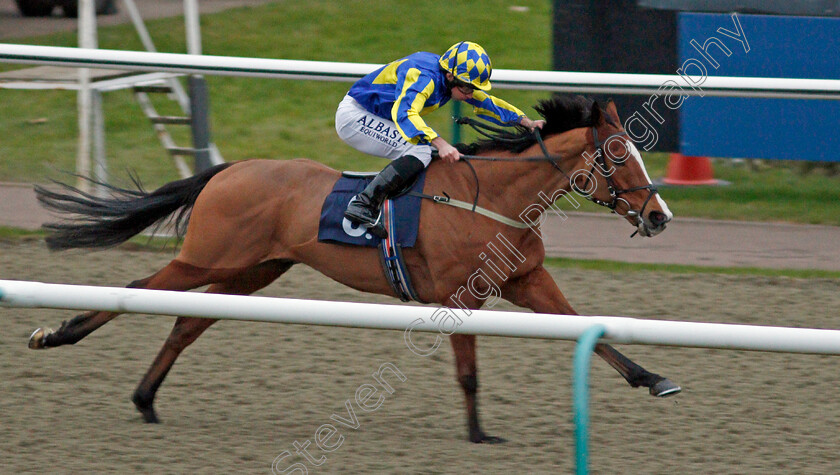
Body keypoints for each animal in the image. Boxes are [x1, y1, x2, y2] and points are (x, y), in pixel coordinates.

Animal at [29, 95, 680, 444]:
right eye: (619, 155)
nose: (659, 216)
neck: (491, 196)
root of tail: (229, 169)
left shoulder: (526, 281)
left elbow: (589, 332)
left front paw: (653, 378)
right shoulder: (461, 296)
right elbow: (468, 371)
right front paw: (477, 433)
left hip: (253, 270)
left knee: (186, 323)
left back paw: (145, 400)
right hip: (208, 256)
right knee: (139, 289)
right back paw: (56, 336)